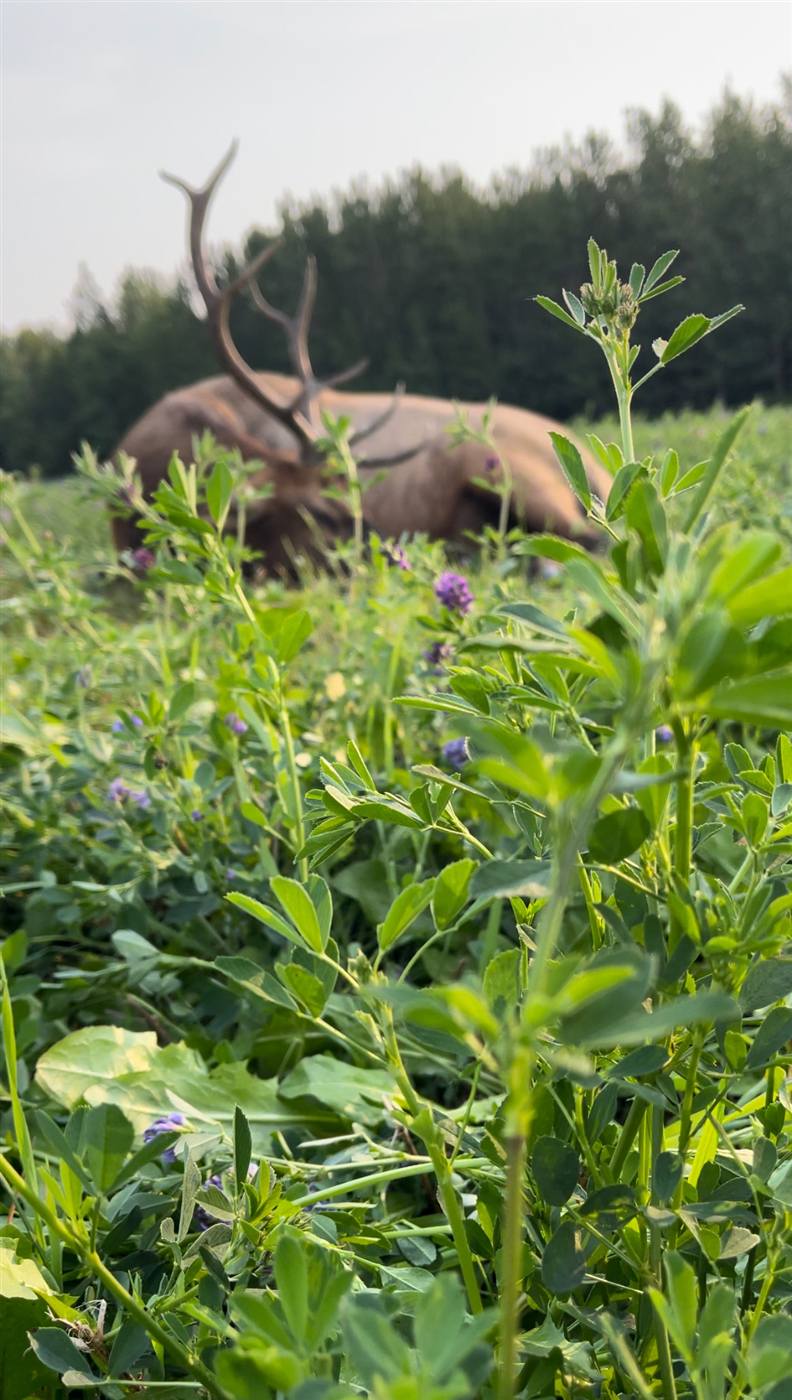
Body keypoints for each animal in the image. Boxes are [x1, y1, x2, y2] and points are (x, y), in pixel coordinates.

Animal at [111, 144, 611, 575]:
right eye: (321, 511)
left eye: (345, 498)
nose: (394, 553)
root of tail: (596, 460)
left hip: (511, 470)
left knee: (592, 539)